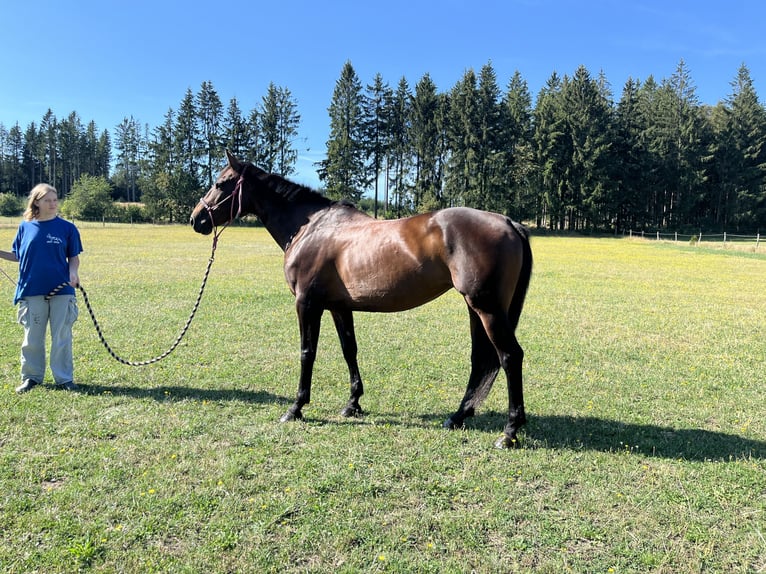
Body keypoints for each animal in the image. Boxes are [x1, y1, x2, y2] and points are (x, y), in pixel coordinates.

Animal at [190, 151, 533, 448]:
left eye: (221, 183)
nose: (197, 220)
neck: (311, 228)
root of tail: (508, 222)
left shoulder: (307, 304)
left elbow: (307, 353)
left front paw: (296, 407)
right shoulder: (339, 307)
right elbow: (349, 350)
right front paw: (352, 404)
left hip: (487, 309)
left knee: (509, 357)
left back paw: (509, 432)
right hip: (477, 310)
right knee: (481, 360)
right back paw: (458, 417)